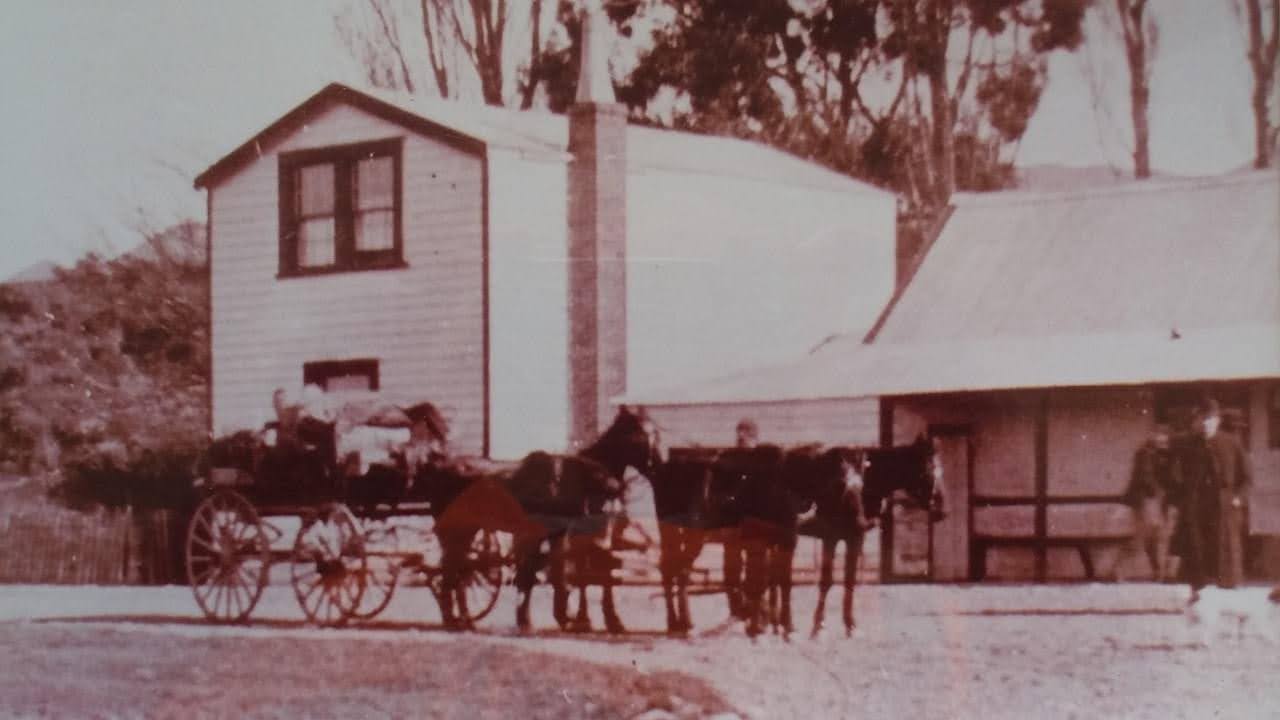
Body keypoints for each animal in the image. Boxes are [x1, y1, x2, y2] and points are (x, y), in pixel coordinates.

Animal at [803, 435, 947, 635]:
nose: (941, 511)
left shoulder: (854, 537)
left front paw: (846, 625)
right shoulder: (834, 537)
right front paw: (821, 626)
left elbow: (848, 580)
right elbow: (829, 580)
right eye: (927, 471)